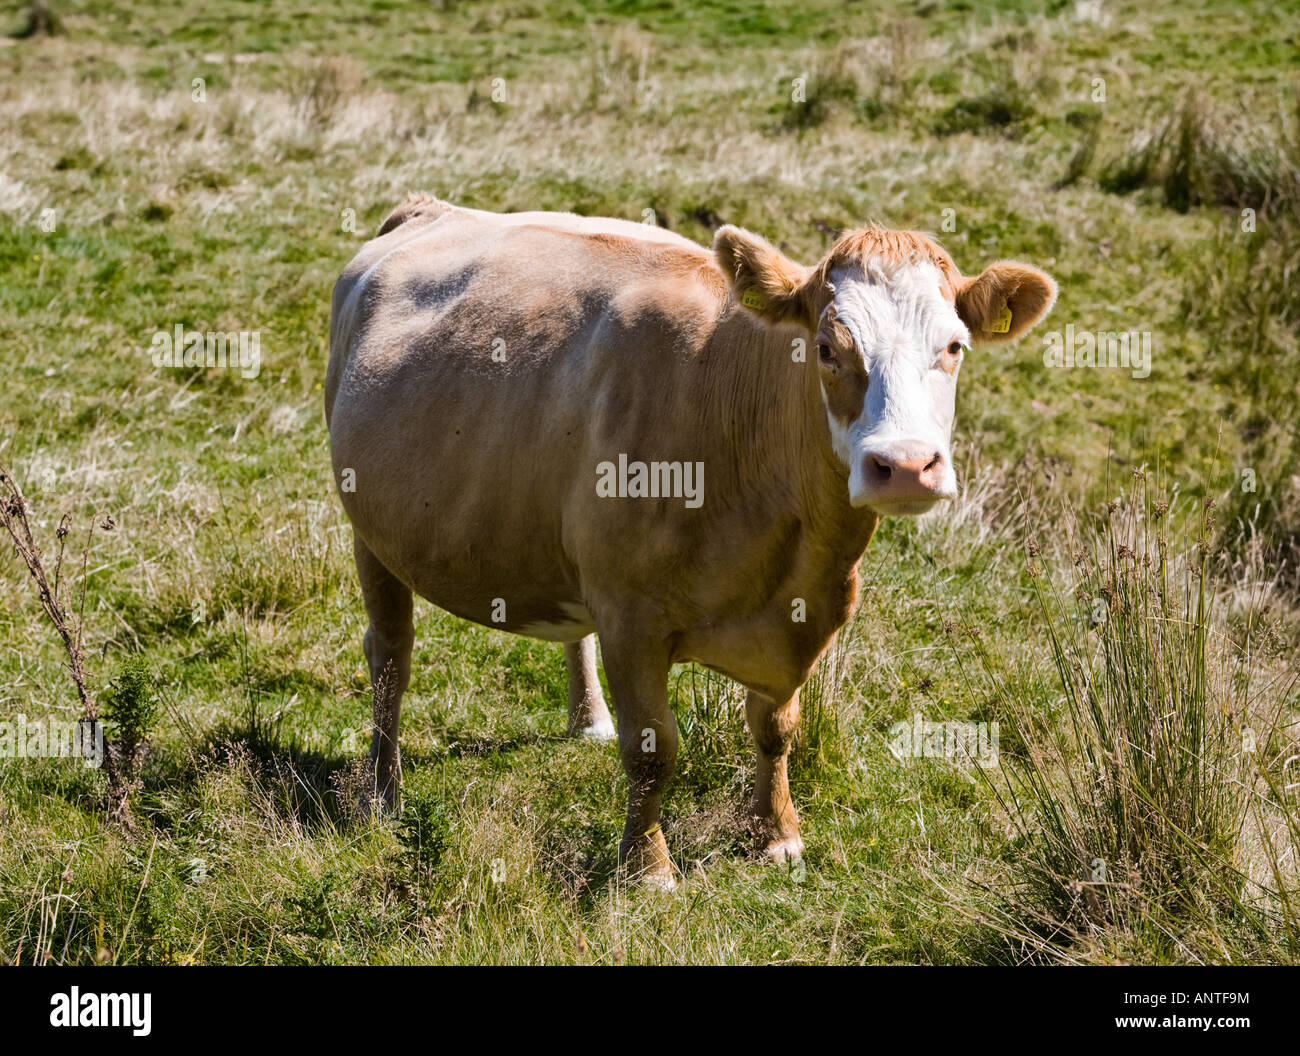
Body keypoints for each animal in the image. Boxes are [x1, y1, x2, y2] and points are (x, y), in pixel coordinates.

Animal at [325, 193, 1055, 884]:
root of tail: (429, 209)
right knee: (389, 655)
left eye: (954, 348)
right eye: (826, 349)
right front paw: (647, 870)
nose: (904, 465)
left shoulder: (803, 615)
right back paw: (383, 793)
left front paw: (777, 834)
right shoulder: (631, 617)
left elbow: (776, 728)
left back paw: (588, 720)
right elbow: (653, 750)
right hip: (371, 529)